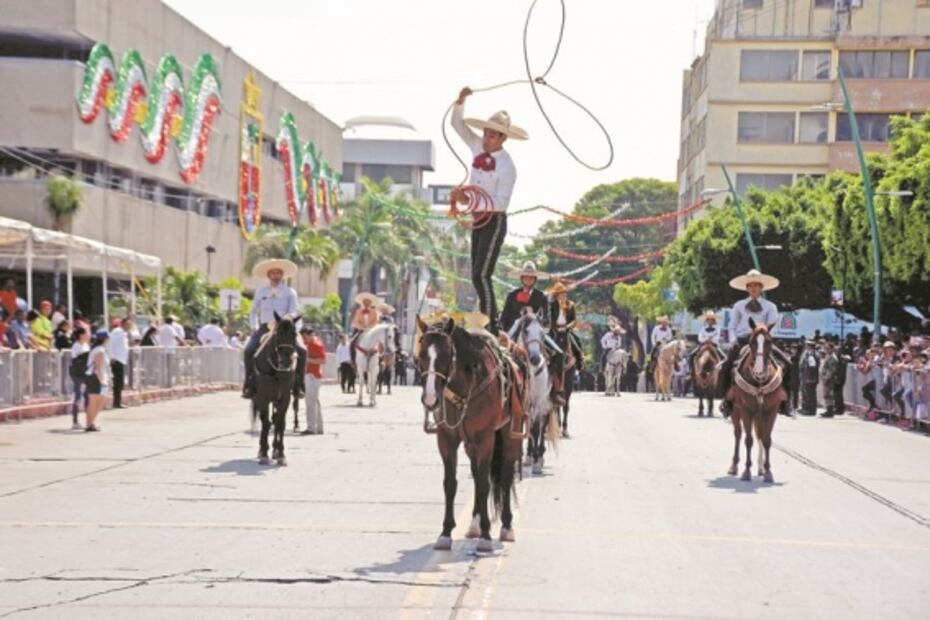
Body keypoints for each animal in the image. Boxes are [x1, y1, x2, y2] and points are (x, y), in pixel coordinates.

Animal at [252, 313, 300, 466]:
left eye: (294, 334)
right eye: (278, 334)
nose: (287, 361)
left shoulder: (284, 397)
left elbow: (280, 423)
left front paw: (281, 454)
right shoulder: (263, 396)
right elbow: (266, 423)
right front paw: (263, 453)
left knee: (277, 418)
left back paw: (275, 450)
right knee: (267, 420)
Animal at [416, 316, 524, 552]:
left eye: (446, 355)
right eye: (421, 355)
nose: (430, 399)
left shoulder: (485, 438)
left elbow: (485, 484)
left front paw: (486, 535)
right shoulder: (446, 438)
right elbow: (450, 483)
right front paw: (445, 532)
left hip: (509, 435)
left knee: (504, 476)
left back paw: (506, 526)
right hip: (470, 444)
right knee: (476, 474)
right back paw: (474, 524)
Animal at [509, 309, 558, 475]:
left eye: (543, 333)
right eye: (526, 331)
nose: (536, 359)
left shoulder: (538, 402)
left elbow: (536, 429)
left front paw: (537, 462)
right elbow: (523, 427)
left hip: (546, 404)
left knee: (542, 425)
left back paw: (539, 457)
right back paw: (529, 456)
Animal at [726, 322, 785, 483]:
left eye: (769, 341)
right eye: (751, 342)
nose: (759, 371)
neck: (759, 382)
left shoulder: (771, 410)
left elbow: (766, 439)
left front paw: (768, 472)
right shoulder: (746, 410)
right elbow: (748, 440)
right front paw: (746, 471)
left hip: (760, 415)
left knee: (760, 435)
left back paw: (760, 468)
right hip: (736, 410)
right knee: (738, 434)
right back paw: (734, 466)